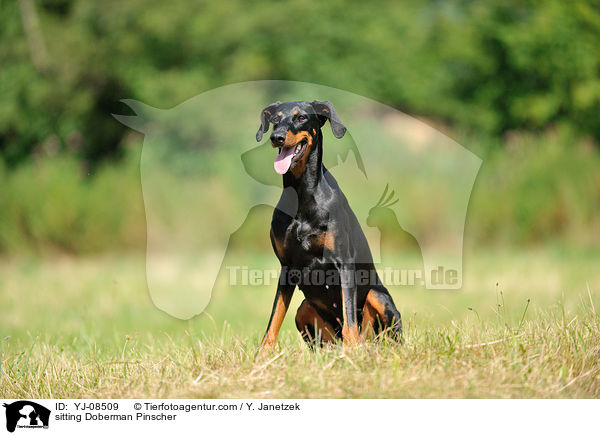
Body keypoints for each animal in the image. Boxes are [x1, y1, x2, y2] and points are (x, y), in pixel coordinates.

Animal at [255, 100, 400, 350]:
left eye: (301, 117)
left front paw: (352, 352)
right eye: (275, 119)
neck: (302, 194)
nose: (277, 137)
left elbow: (349, 317)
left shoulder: (344, 263)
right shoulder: (286, 267)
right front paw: (263, 356)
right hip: (304, 310)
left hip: (378, 297)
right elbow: (273, 322)